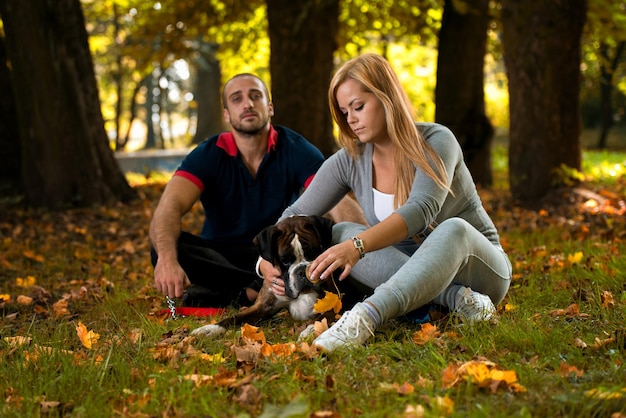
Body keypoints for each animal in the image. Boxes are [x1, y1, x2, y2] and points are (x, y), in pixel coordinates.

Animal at [190, 214, 352, 338]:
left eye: (313, 253)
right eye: (284, 261)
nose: (301, 271)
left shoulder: (336, 305)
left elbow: (323, 317)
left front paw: (312, 329)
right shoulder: (261, 307)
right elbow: (234, 317)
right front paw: (210, 328)